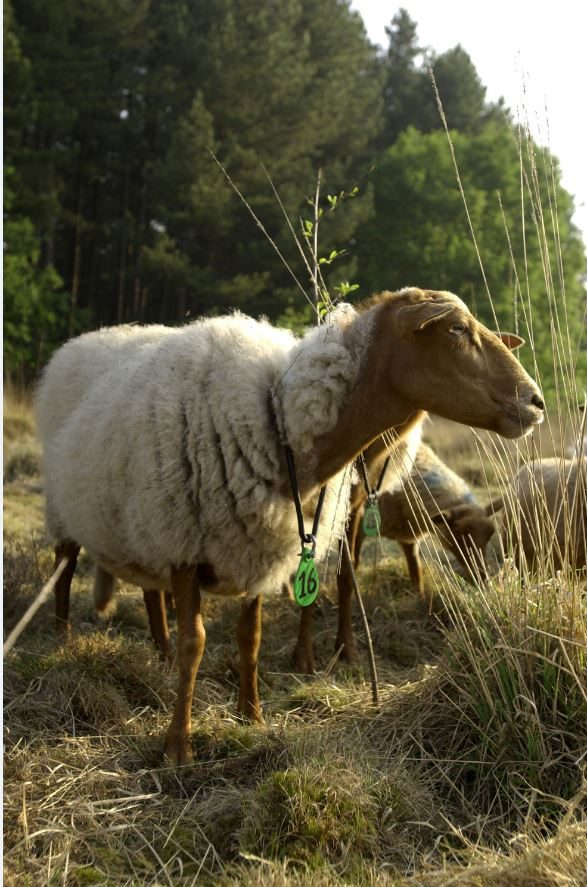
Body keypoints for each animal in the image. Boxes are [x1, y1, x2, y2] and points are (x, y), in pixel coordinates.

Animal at [35, 287, 544, 765]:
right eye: (456, 329)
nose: (536, 402)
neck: (281, 427)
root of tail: (87, 338)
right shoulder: (186, 545)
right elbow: (195, 644)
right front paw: (178, 746)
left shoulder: (257, 546)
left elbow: (251, 637)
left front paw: (252, 716)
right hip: (78, 509)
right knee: (65, 567)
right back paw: (62, 639)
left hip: (141, 520)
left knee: (148, 589)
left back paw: (158, 650)